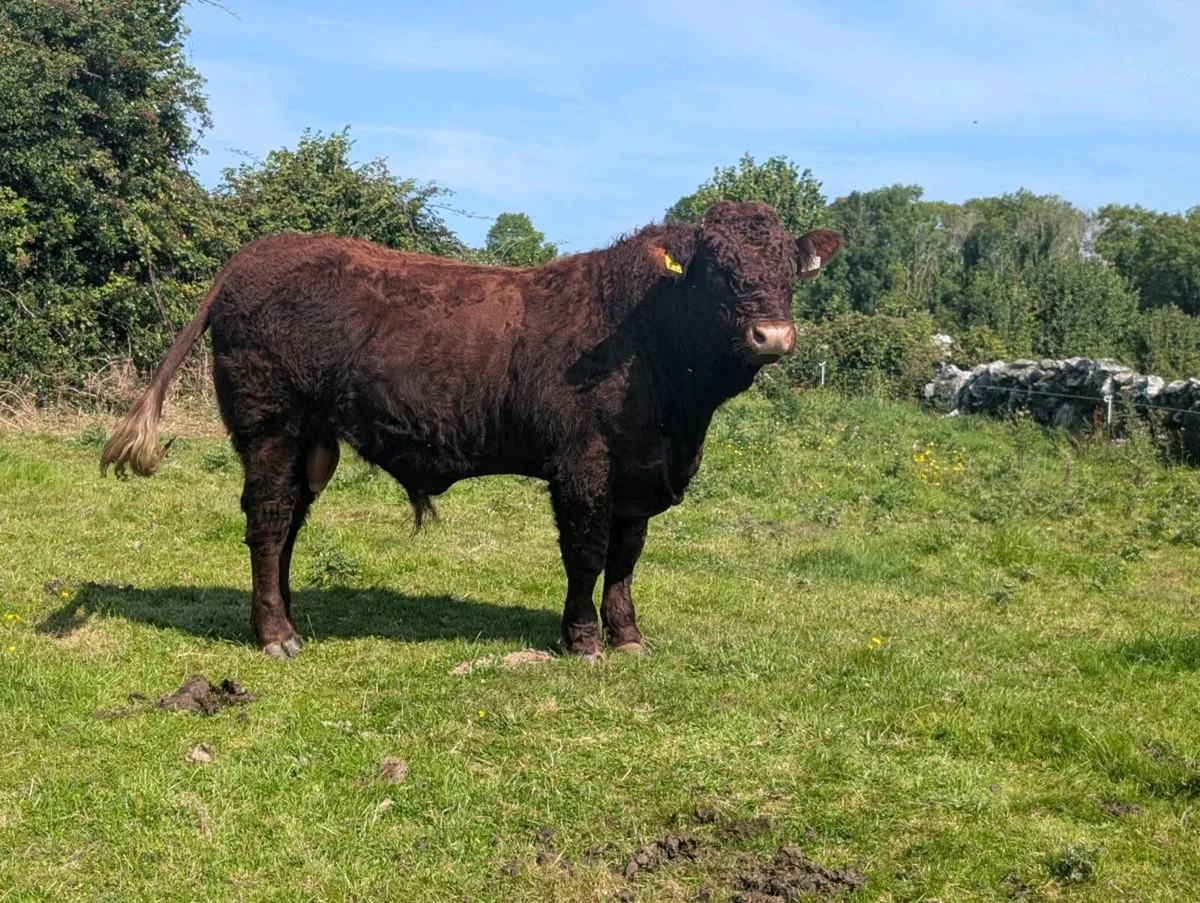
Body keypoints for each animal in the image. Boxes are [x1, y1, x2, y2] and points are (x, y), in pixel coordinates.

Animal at [100, 200, 843, 660]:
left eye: (788, 269)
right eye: (717, 269)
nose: (772, 335)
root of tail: (256, 254)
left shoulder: (638, 473)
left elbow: (626, 558)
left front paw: (628, 635)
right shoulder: (582, 463)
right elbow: (586, 552)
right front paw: (583, 640)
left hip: (308, 439)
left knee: (286, 523)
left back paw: (285, 618)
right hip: (269, 424)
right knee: (269, 521)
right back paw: (275, 634)